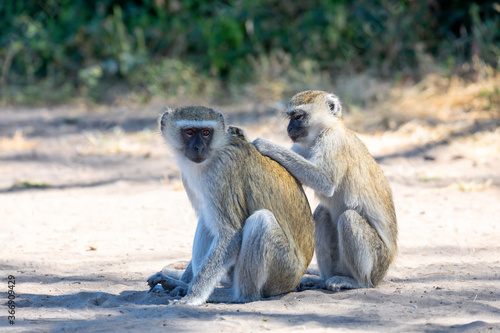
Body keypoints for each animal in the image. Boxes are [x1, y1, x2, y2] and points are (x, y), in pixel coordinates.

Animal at [146, 105, 314, 304]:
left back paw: (236, 296)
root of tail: (298, 276)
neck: (213, 154)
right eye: (189, 132)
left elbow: (230, 234)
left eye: (206, 132)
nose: (198, 147)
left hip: (284, 272)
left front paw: (192, 296)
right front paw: (183, 284)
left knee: (261, 221)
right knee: (206, 220)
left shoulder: (222, 173)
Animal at [254, 91, 398, 290]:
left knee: (348, 218)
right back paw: (323, 279)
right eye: (290, 117)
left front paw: (265, 145)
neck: (326, 129)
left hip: (378, 262)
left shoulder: (332, 141)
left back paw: (358, 282)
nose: (289, 129)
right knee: (322, 214)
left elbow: (325, 182)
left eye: (298, 116)